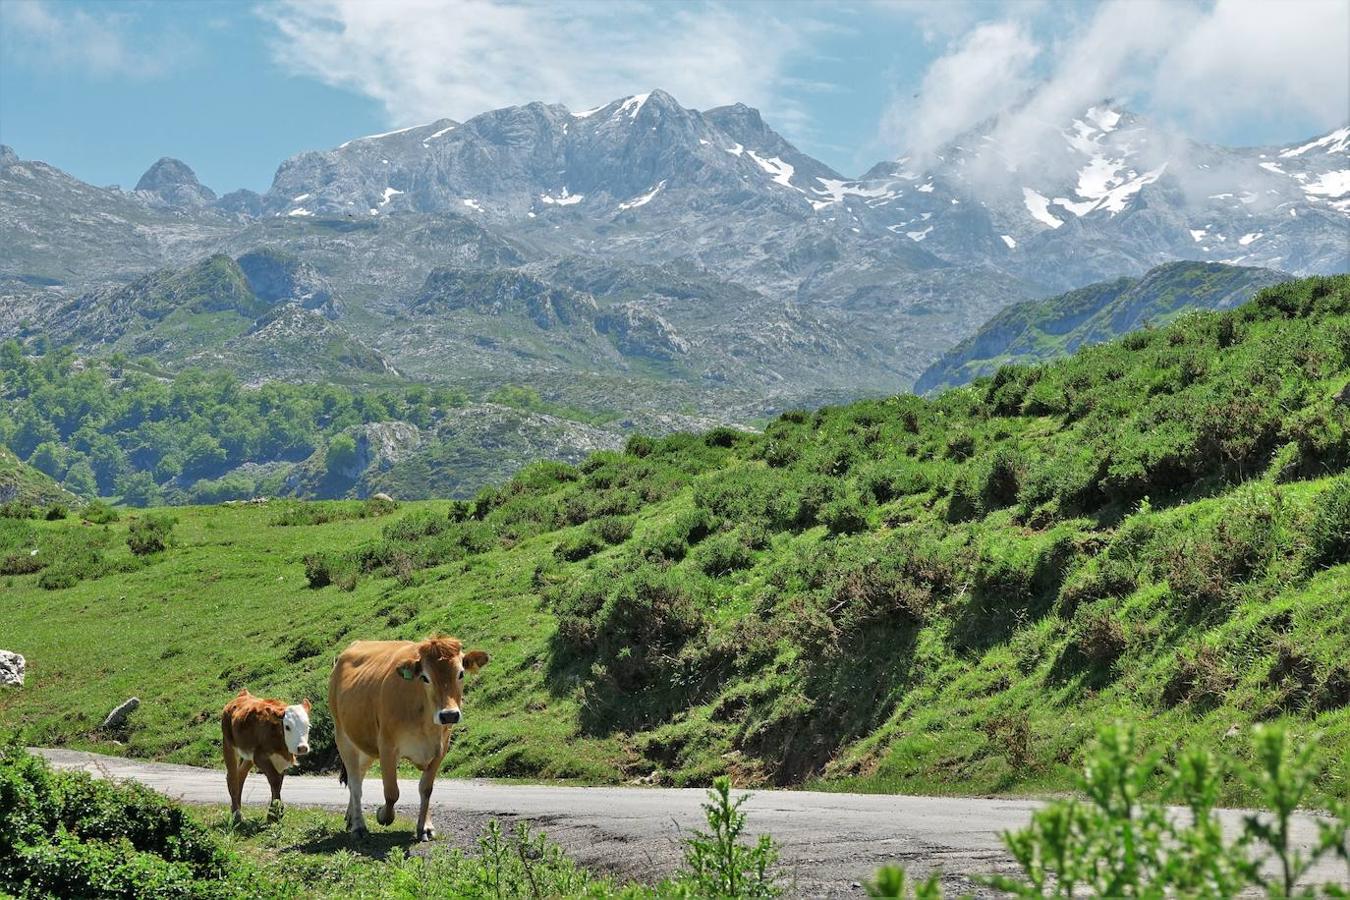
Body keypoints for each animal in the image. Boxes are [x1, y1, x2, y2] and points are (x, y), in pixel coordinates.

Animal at [224, 690, 313, 825]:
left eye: (307, 726)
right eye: (287, 727)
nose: (302, 748)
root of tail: (243, 695)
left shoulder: (280, 761)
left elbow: (278, 783)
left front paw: (275, 813)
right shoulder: (260, 757)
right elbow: (275, 781)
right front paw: (274, 814)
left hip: (249, 756)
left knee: (241, 774)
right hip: (229, 744)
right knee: (232, 777)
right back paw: (237, 815)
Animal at [328, 636, 491, 841]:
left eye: (460, 673)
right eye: (425, 677)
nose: (449, 715)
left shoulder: (441, 749)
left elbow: (426, 789)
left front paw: (425, 827)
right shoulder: (387, 747)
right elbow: (391, 793)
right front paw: (382, 814)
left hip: (365, 745)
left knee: (357, 776)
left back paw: (351, 818)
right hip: (343, 737)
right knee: (355, 783)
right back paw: (358, 827)